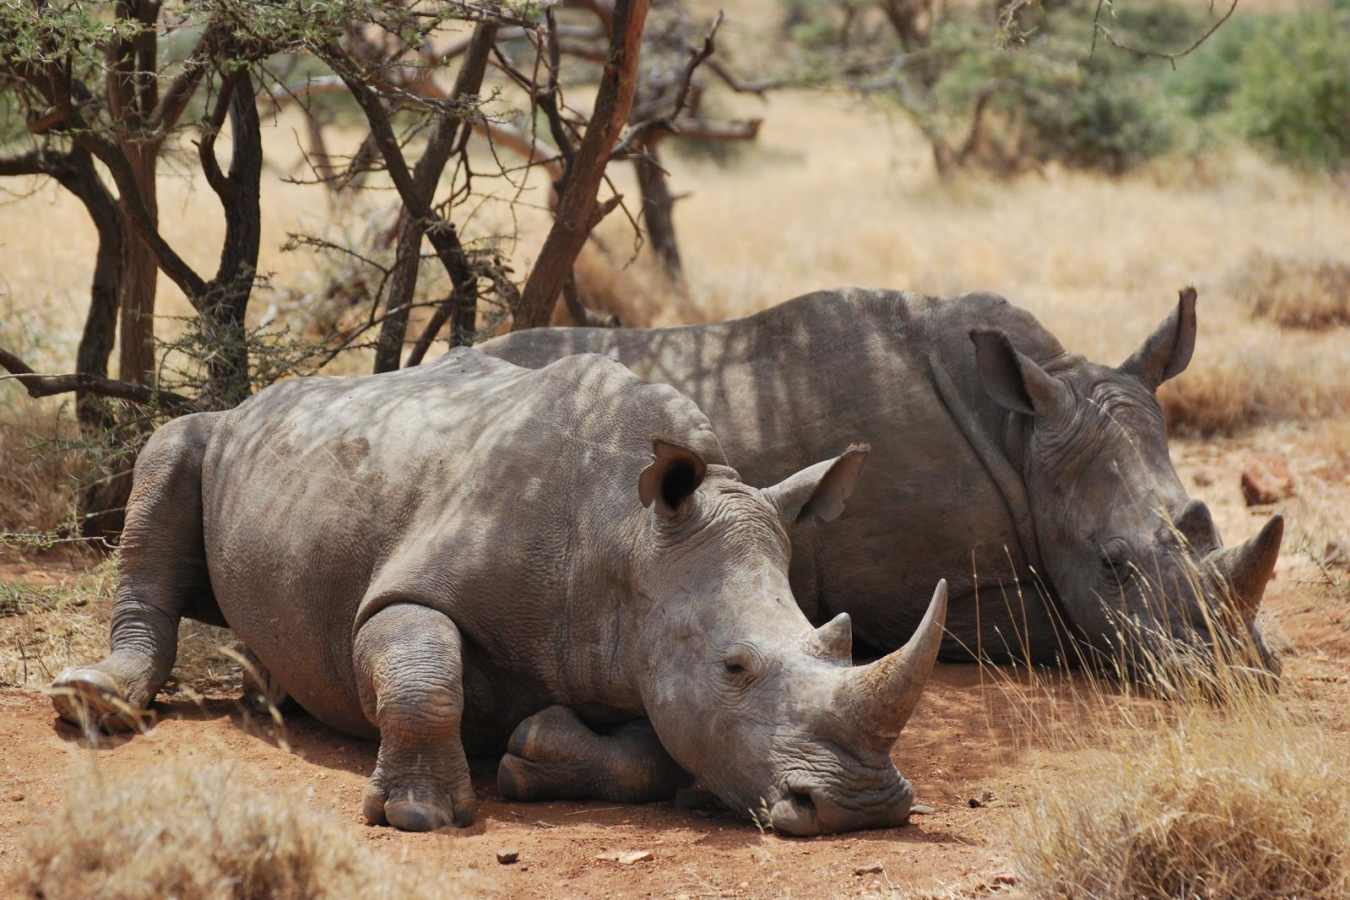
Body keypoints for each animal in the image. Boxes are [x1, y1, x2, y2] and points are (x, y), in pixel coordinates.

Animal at [50, 349, 948, 836]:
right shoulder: (409, 590)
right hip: (216, 432)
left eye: (836, 642)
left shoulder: (644, 655)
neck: (626, 538)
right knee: (172, 448)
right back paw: (92, 701)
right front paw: (419, 815)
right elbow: (422, 670)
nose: (864, 807)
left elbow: (656, 753)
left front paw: (535, 753)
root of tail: (264, 398)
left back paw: (270, 692)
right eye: (734, 668)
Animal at [478, 288, 1283, 676]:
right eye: (1112, 565)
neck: (1021, 435)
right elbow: (1066, 626)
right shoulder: (903, 597)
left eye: (1204, 518)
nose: (1240, 673)